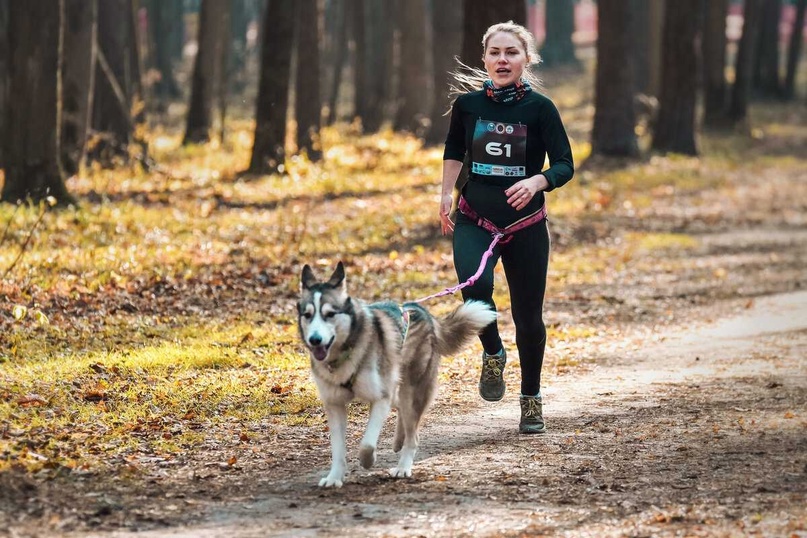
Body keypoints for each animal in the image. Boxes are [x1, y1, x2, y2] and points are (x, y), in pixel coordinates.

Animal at [298, 260, 496, 486]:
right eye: (307, 315)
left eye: (330, 314)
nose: (315, 340)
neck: (345, 351)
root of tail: (422, 311)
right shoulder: (335, 404)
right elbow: (338, 450)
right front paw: (334, 478)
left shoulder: (380, 398)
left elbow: (367, 444)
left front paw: (368, 460)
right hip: (397, 386)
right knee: (401, 409)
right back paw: (398, 440)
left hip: (413, 390)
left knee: (413, 432)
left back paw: (403, 466)